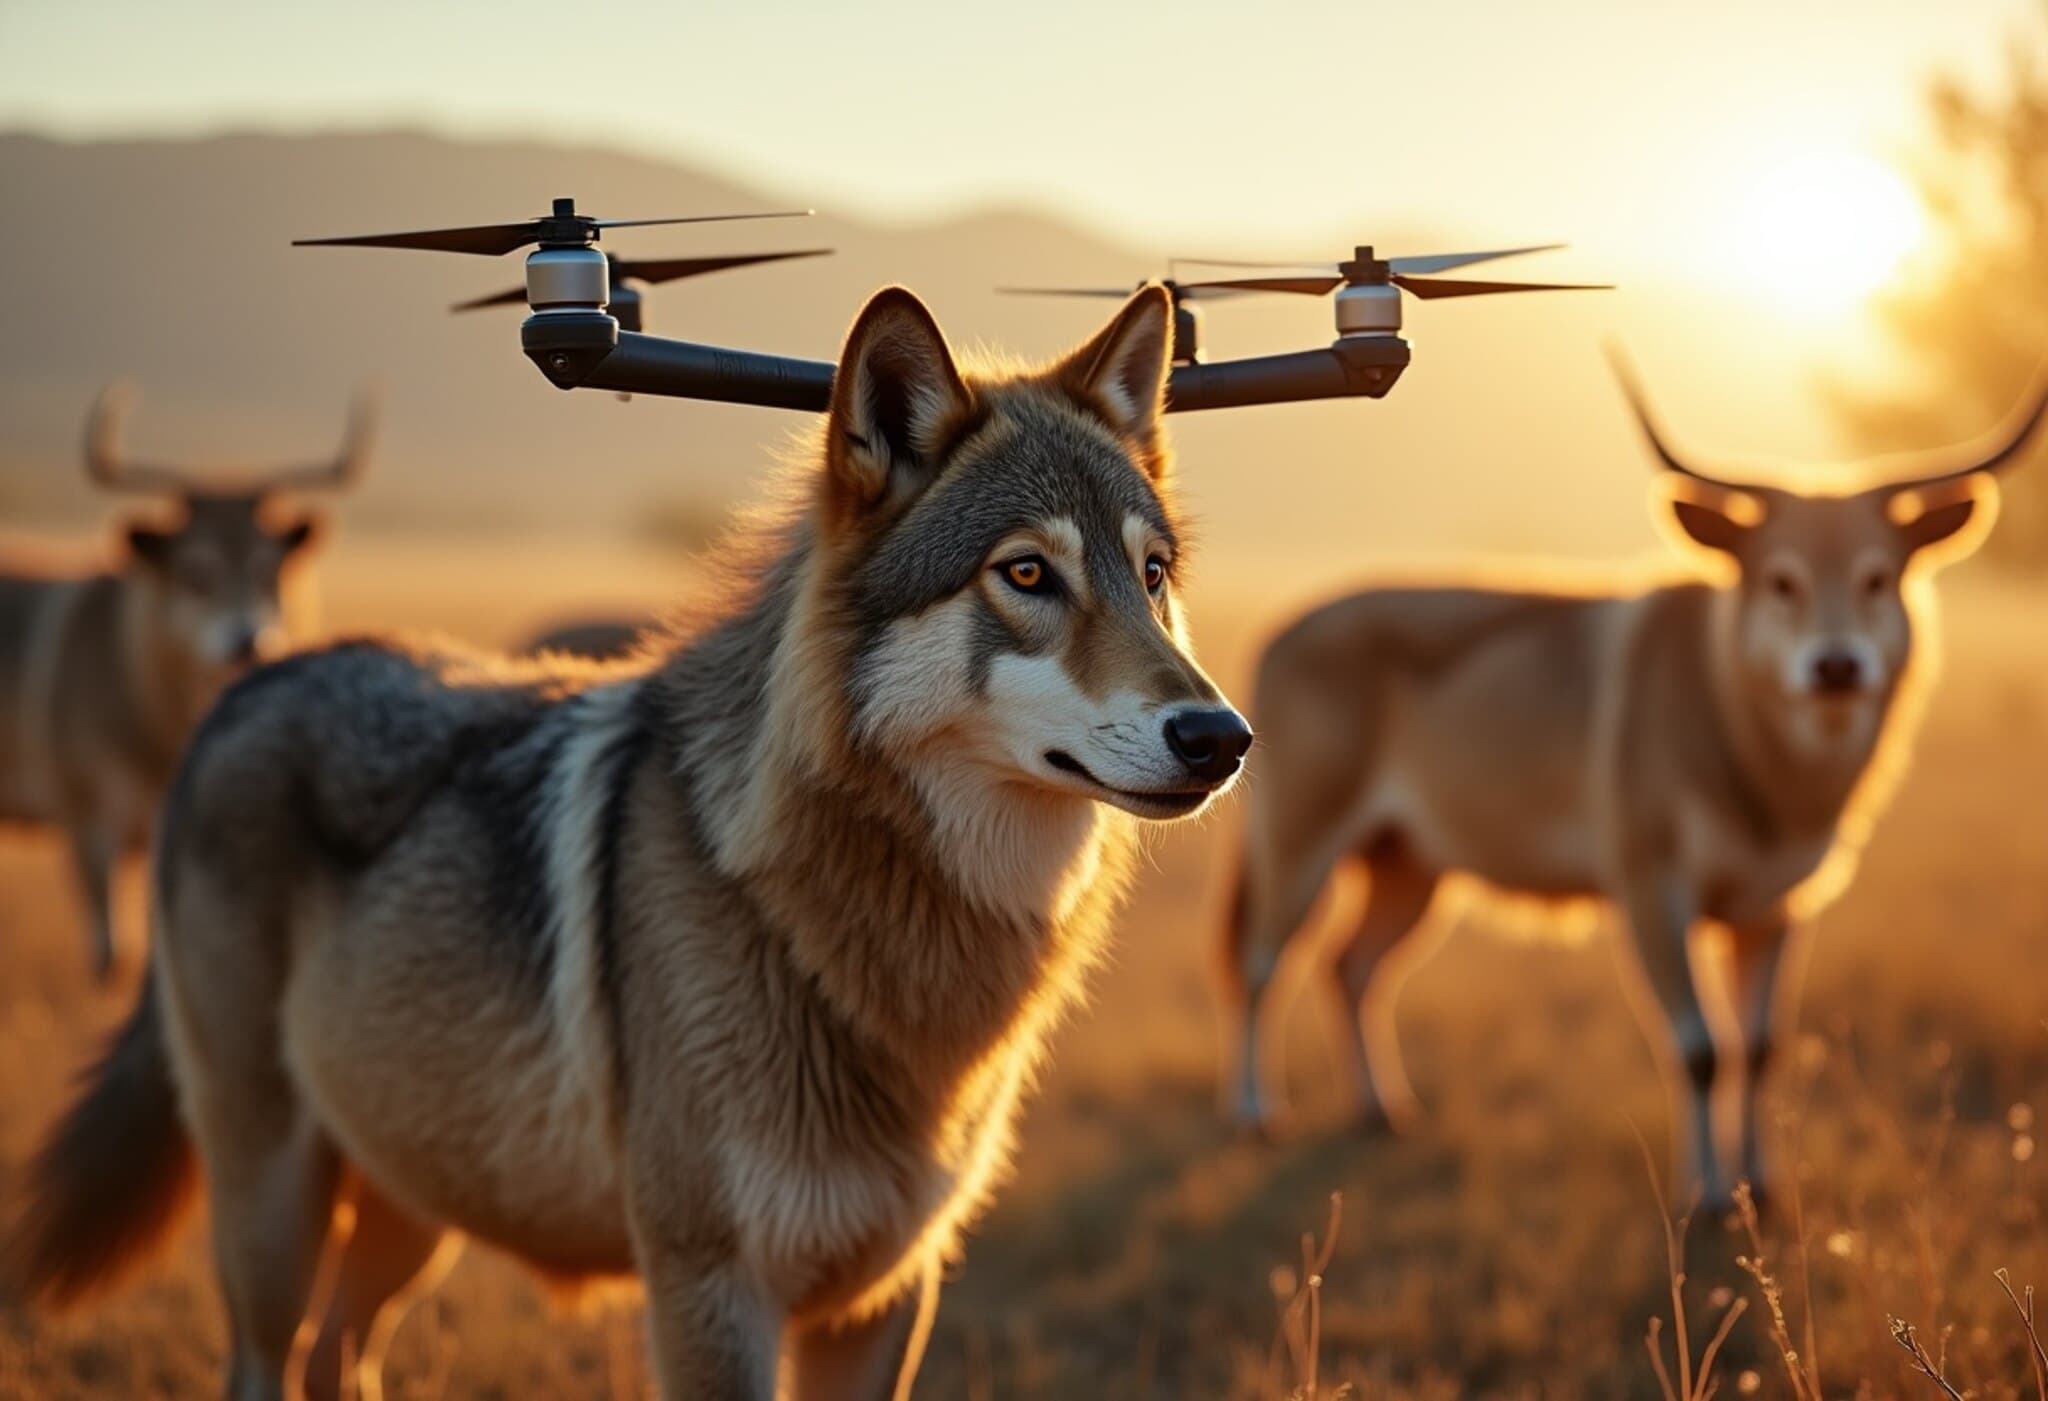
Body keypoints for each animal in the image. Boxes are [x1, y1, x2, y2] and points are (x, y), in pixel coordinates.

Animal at [1215, 355, 2043, 1208]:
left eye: (1878, 576)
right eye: (1781, 579)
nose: (1838, 666)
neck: (1732, 732)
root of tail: (1279, 632)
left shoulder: (1775, 909)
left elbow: (1761, 1047)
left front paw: (1760, 1185)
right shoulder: (1653, 892)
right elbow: (1701, 1046)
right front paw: (1708, 1196)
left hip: (1409, 864)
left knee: (1351, 966)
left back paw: (1382, 1110)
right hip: (1300, 839)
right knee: (1260, 962)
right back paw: (1256, 1115)